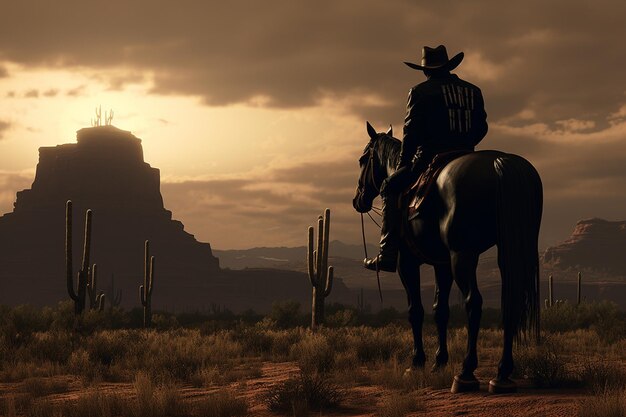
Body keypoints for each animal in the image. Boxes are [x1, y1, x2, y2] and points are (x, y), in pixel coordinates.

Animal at [352, 121, 540, 394]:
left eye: (362, 159)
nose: (358, 199)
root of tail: (500, 162)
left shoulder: (407, 263)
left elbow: (416, 311)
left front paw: (416, 362)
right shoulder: (442, 265)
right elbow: (440, 310)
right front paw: (439, 362)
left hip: (462, 256)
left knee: (474, 302)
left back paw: (466, 373)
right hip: (508, 252)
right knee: (510, 301)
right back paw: (502, 374)